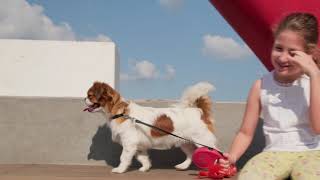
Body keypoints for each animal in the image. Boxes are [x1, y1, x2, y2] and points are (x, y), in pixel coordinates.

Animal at [84, 81, 219, 173]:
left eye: (90, 96)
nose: (84, 98)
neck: (122, 112)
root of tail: (198, 112)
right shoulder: (138, 146)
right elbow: (142, 157)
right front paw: (145, 167)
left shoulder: (129, 143)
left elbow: (124, 157)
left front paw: (120, 169)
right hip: (184, 142)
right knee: (191, 154)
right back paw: (182, 166)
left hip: (203, 141)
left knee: (215, 154)